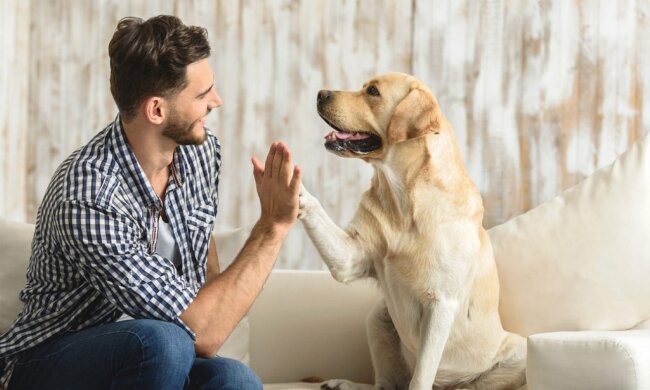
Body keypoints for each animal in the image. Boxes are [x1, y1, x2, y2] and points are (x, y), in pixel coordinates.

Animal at [298, 74, 528, 390]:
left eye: (373, 91)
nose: (321, 93)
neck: (404, 198)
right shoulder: (350, 259)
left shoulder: (441, 304)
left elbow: (420, 378)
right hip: (378, 318)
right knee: (385, 385)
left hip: (518, 352)